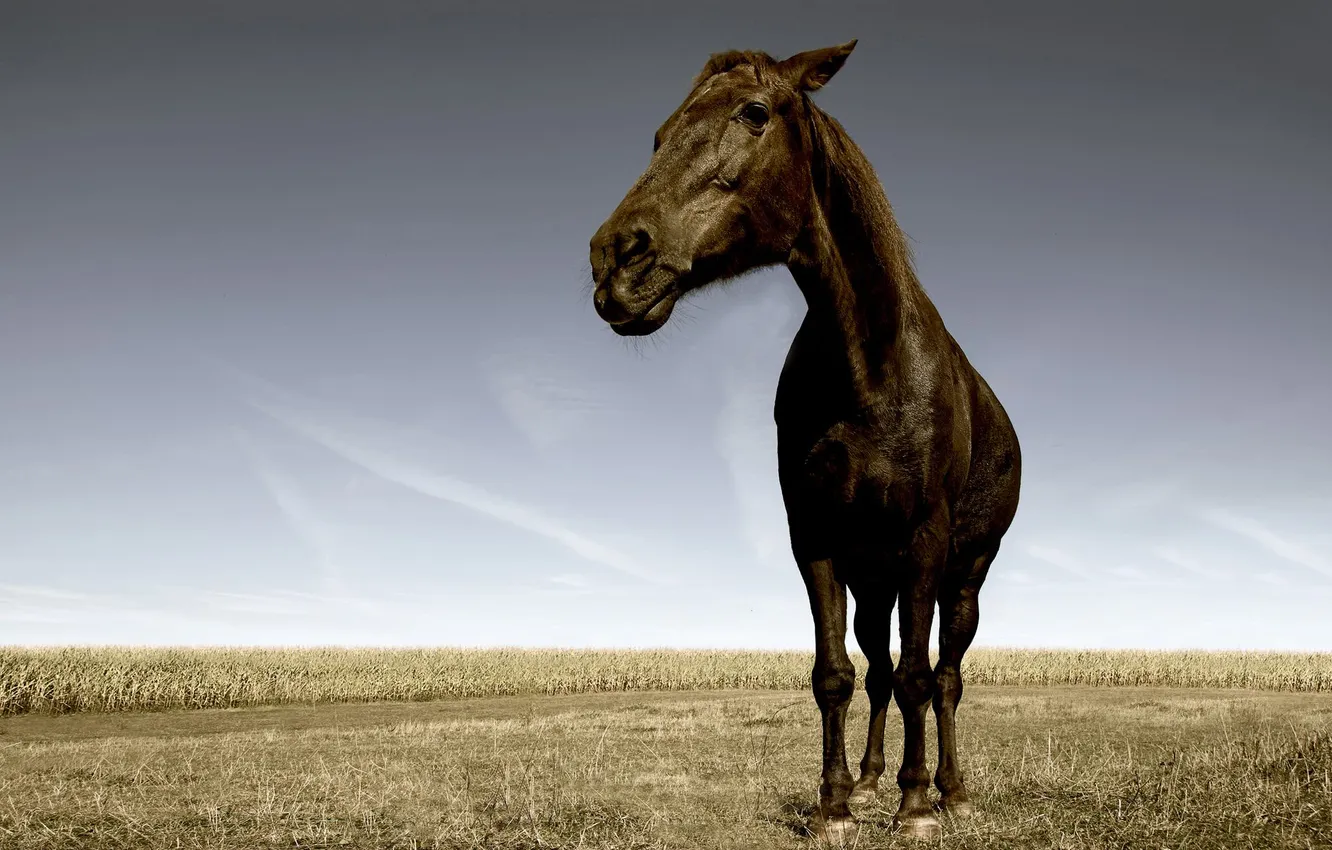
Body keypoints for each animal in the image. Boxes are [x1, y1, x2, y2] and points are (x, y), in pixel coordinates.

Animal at [588, 40, 1022, 843]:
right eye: (660, 134)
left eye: (754, 113)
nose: (615, 259)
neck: (871, 366)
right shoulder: (815, 538)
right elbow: (835, 676)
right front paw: (836, 806)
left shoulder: (925, 540)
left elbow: (920, 676)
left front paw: (917, 809)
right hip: (873, 582)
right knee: (879, 671)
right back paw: (877, 778)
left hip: (965, 576)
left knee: (944, 677)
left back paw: (949, 789)